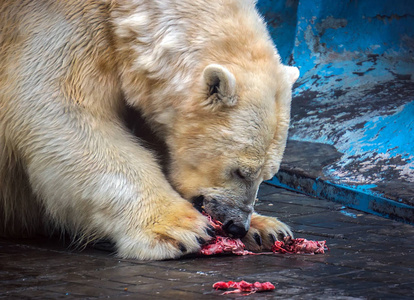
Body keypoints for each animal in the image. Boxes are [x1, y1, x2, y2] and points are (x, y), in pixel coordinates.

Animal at [0, 0, 298, 260]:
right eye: (239, 171)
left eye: (267, 176)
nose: (237, 225)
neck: (124, 12)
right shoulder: (63, 30)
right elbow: (66, 115)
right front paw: (181, 228)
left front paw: (267, 229)